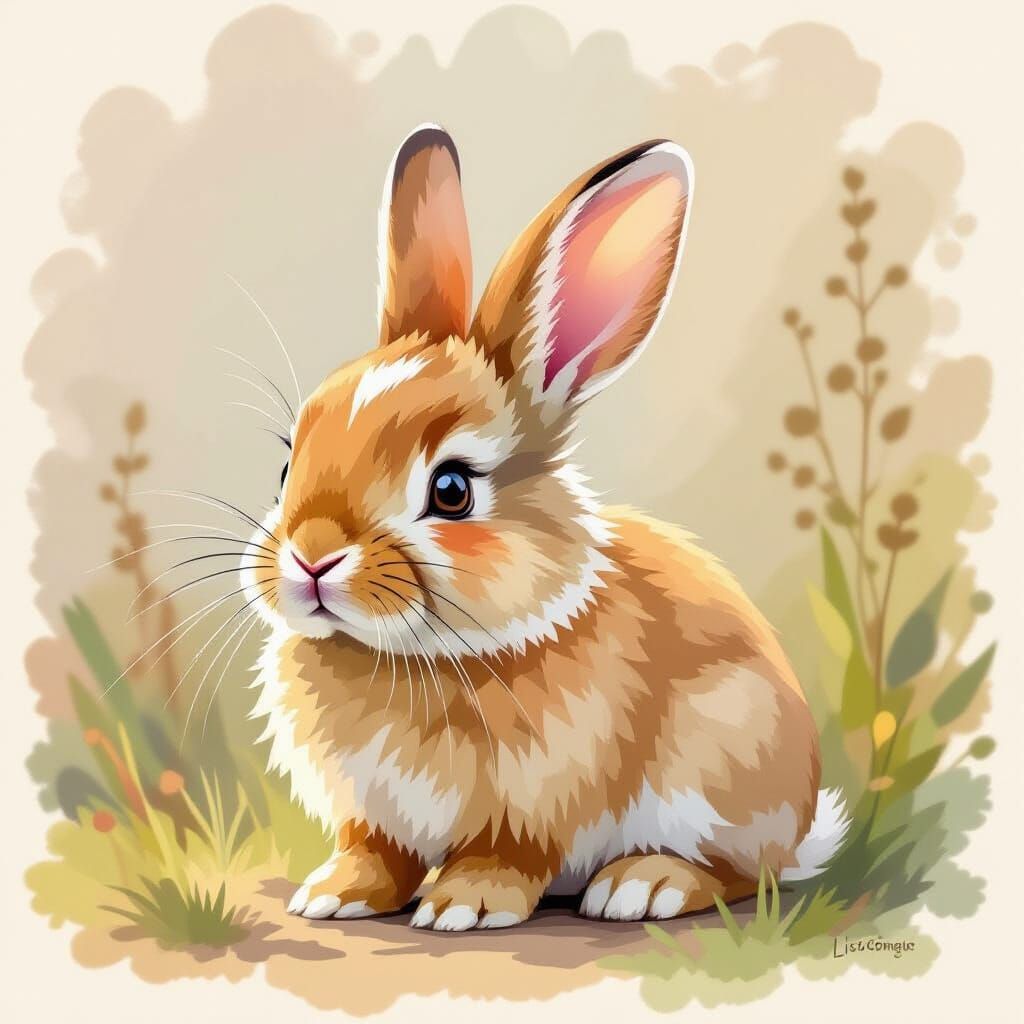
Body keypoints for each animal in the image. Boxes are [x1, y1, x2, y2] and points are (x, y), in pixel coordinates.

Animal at [243, 124, 848, 931]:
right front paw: (335, 894)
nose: (313, 558)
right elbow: (377, 853)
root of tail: (805, 824)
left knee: (743, 874)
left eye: (452, 490)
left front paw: (463, 905)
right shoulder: (372, 815)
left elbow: (509, 858)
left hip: (723, 762)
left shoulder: (534, 806)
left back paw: (642, 886)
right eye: (287, 466)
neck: (411, 655)